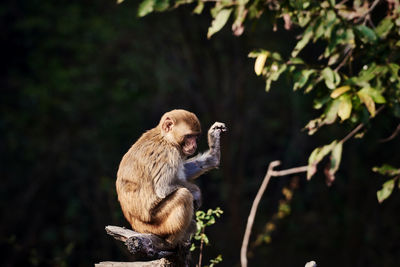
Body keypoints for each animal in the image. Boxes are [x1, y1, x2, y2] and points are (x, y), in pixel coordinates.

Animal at [117, 110, 227, 248]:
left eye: (195, 137)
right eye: (189, 136)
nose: (194, 145)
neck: (165, 138)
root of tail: (137, 227)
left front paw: (213, 154)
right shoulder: (168, 153)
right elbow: (163, 188)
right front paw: (197, 192)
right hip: (158, 226)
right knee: (184, 195)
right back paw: (173, 240)